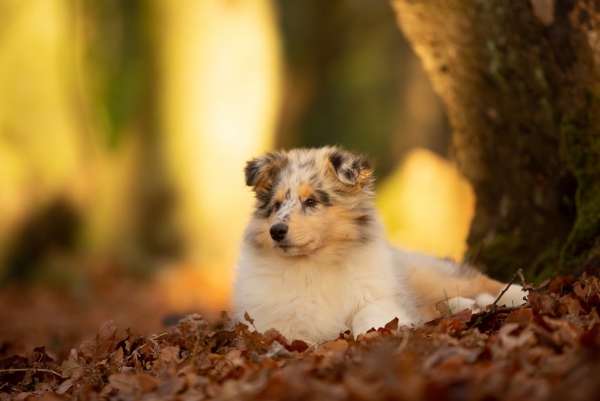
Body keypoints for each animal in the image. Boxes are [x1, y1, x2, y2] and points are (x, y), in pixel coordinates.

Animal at [233, 145, 524, 342]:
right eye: (277, 205)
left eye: (311, 201)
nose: (276, 231)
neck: (313, 265)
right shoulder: (270, 321)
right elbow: (292, 336)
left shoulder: (379, 296)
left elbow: (368, 314)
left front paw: (371, 335)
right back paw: (467, 305)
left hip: (427, 272)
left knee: (478, 280)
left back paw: (515, 294)